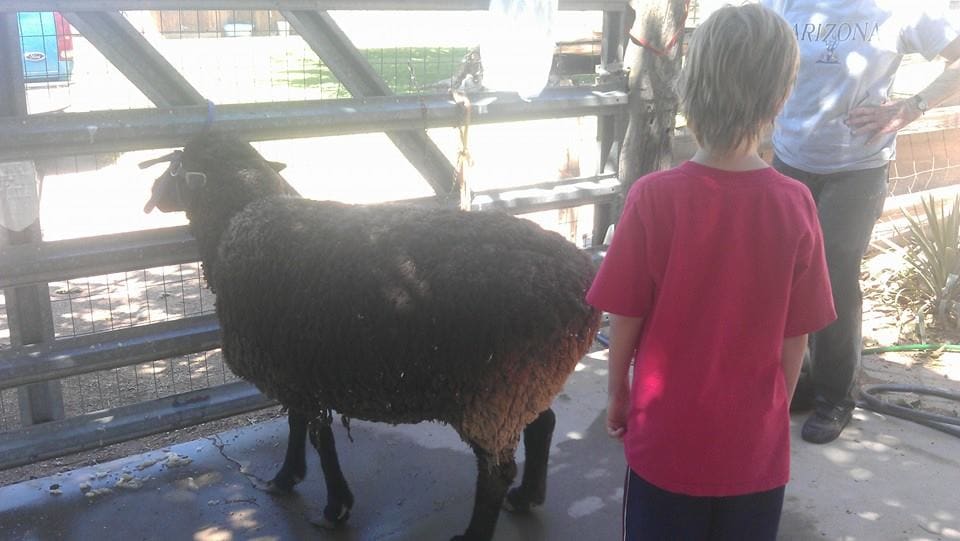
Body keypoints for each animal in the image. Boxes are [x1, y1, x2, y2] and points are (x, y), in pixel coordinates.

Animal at [140, 131, 600, 541]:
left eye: (175, 164)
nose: (153, 193)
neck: (239, 217)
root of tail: (583, 281)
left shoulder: (296, 373)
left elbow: (318, 438)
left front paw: (333, 507)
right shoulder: (295, 370)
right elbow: (298, 425)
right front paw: (289, 478)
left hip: (493, 395)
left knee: (496, 470)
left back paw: (475, 533)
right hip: (524, 382)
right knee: (543, 426)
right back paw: (527, 496)